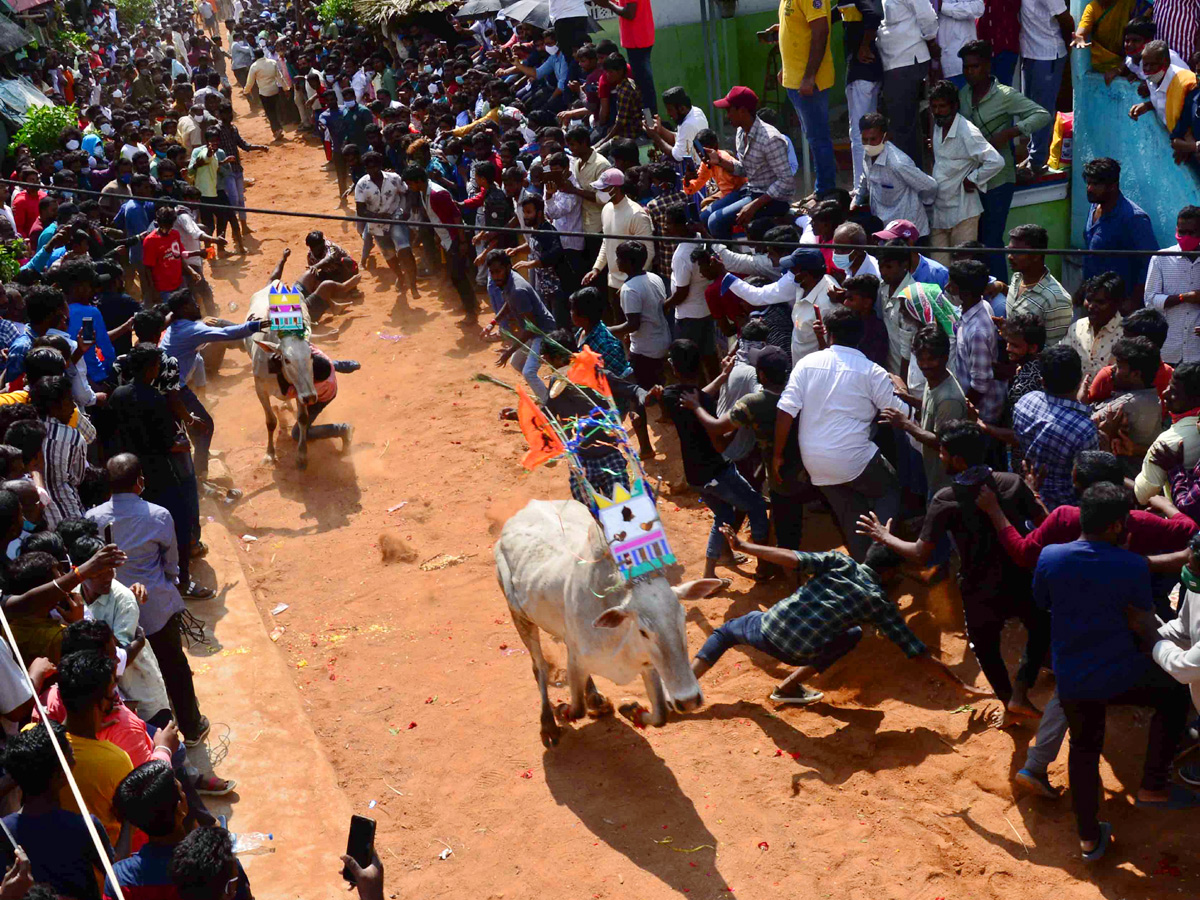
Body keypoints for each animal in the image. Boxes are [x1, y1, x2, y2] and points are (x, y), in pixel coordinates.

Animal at [244, 282, 319, 472]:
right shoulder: (260, 389)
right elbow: (270, 421)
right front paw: (270, 454)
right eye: (287, 359)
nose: (311, 397)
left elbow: (303, 418)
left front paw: (301, 455)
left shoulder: (301, 391)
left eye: (311, 355)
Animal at [496, 501, 720, 748]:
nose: (688, 700)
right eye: (643, 631)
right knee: (540, 668)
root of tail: (526, 509)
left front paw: (631, 710)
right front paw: (563, 710)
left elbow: (660, 715)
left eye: (682, 619)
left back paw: (596, 699)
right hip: (520, 616)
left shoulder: (648, 666)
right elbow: (577, 709)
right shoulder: (576, 660)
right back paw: (549, 724)